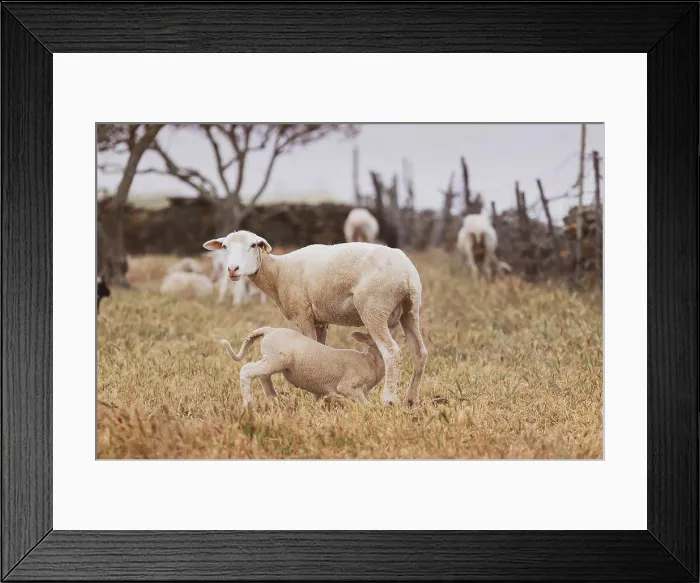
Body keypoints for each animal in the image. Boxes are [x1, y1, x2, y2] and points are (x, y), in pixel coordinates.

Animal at [221, 327, 384, 409]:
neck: (370, 362)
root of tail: (269, 330)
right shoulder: (348, 386)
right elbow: (365, 404)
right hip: (276, 359)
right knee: (247, 371)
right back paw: (249, 405)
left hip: (271, 360)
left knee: (263, 376)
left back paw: (274, 399)